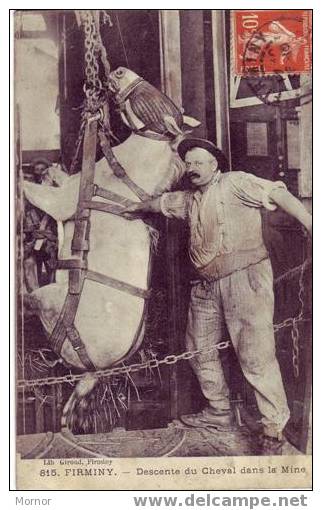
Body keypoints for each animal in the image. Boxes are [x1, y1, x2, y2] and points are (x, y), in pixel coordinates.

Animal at [22, 68, 197, 426]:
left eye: (153, 98)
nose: (117, 72)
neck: (124, 177)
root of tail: (97, 372)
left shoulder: (60, 203)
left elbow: (29, 190)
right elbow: (56, 177)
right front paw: (47, 168)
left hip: (50, 301)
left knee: (31, 294)